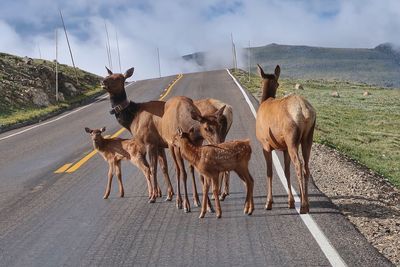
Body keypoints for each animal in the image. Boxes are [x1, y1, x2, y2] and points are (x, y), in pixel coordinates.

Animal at [101, 68, 173, 204]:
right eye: (108, 74)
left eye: (119, 77)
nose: (103, 81)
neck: (131, 119)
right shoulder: (159, 144)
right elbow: (164, 167)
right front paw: (169, 194)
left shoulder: (150, 142)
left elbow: (152, 168)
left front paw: (153, 196)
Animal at [255, 63, 318, 215]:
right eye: (278, 83)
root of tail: (305, 111)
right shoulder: (283, 148)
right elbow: (286, 172)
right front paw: (290, 201)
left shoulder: (265, 144)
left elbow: (270, 172)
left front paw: (268, 202)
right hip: (307, 138)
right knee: (306, 166)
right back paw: (307, 203)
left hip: (292, 139)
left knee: (299, 165)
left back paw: (303, 206)